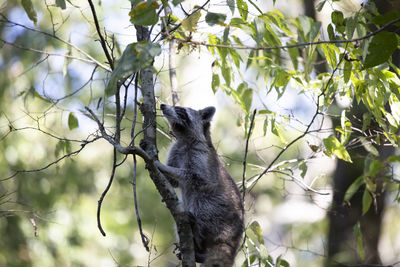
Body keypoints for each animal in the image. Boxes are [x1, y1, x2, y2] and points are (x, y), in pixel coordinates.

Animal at [156, 104, 244, 267]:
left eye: (180, 110)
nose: (163, 106)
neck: (184, 138)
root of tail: (232, 242)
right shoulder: (177, 149)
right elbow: (173, 182)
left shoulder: (201, 157)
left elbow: (196, 178)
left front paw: (166, 168)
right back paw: (199, 250)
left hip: (220, 213)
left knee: (202, 207)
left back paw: (198, 233)